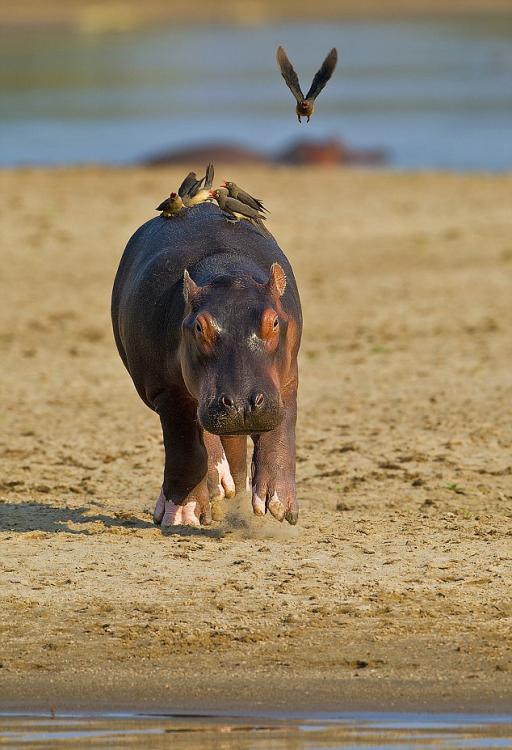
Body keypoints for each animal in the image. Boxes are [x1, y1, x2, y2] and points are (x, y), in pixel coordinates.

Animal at [110, 201, 302, 528]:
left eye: (274, 322)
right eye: (200, 327)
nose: (241, 403)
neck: (227, 271)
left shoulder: (288, 377)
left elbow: (282, 427)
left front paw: (279, 504)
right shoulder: (166, 390)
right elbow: (185, 446)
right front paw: (181, 515)